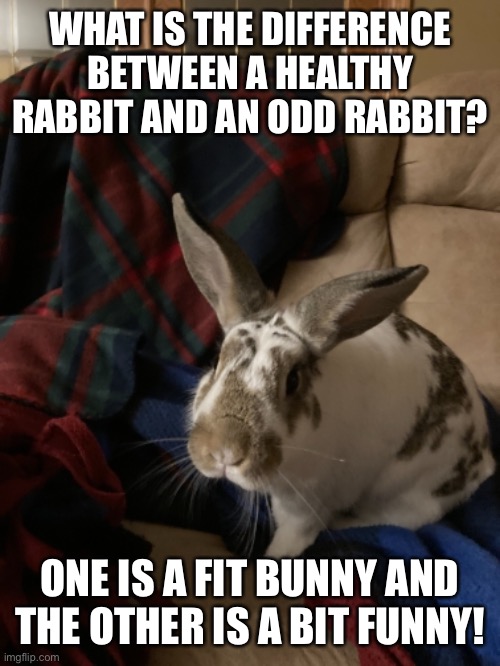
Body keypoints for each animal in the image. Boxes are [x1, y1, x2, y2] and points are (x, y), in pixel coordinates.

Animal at [171, 193, 496, 558]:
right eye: (215, 362)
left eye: (293, 381)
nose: (224, 451)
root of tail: (483, 458)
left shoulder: (307, 506)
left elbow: (292, 540)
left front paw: (272, 558)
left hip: (414, 491)